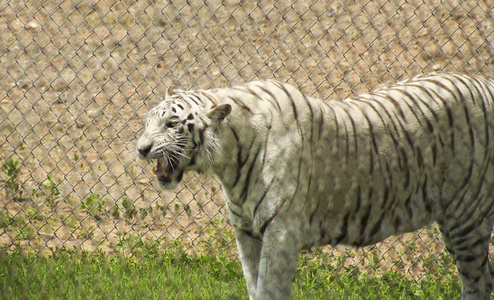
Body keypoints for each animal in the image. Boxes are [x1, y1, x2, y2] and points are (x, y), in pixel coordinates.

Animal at [137, 73, 494, 300]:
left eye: (171, 124)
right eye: (148, 122)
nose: (140, 149)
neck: (228, 161)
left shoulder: (280, 232)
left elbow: (270, 290)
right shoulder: (246, 233)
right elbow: (254, 286)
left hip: (468, 217)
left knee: (476, 282)